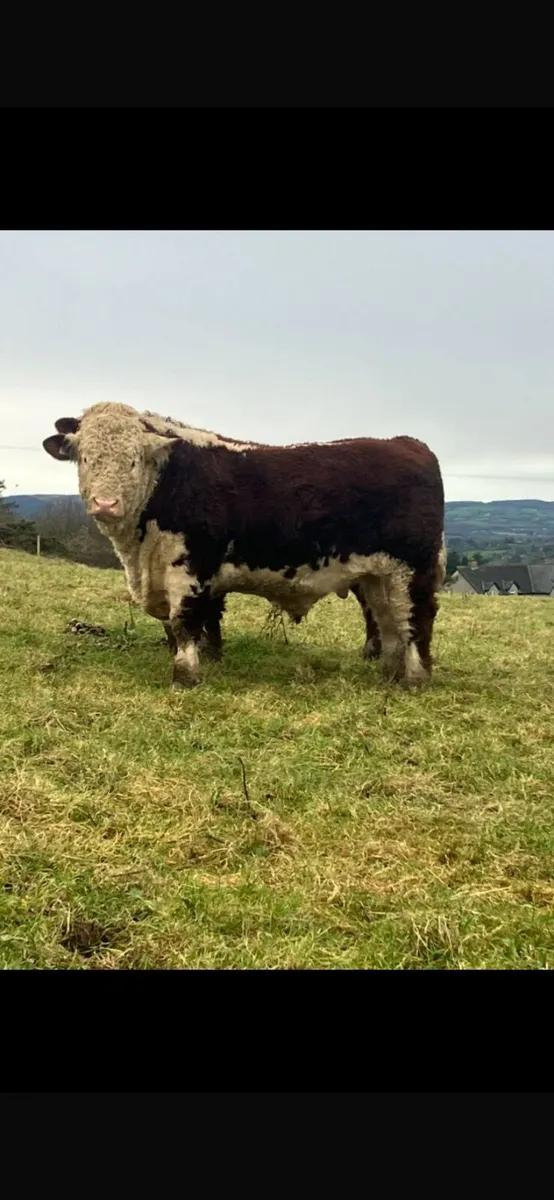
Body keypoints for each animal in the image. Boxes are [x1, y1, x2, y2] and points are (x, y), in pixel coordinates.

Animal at [43, 402, 445, 691]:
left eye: (133, 460)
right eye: (85, 458)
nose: (105, 503)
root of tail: (405, 443)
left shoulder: (190, 569)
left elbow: (185, 623)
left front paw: (185, 677)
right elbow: (183, 626)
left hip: (413, 570)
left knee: (417, 619)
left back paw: (415, 680)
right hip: (379, 576)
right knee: (390, 621)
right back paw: (389, 674)